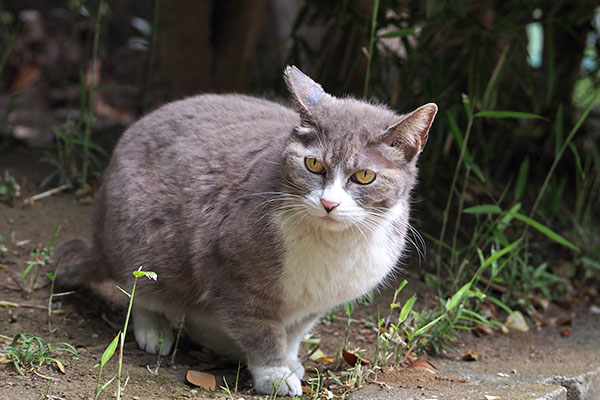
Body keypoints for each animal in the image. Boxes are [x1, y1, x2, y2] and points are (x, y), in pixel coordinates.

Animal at [55, 66, 436, 396]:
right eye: (313, 164)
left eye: (365, 176)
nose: (329, 203)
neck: (331, 246)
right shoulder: (233, 273)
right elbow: (261, 330)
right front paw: (275, 374)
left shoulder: (318, 301)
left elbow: (295, 332)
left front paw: (290, 361)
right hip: (139, 238)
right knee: (141, 287)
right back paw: (156, 333)